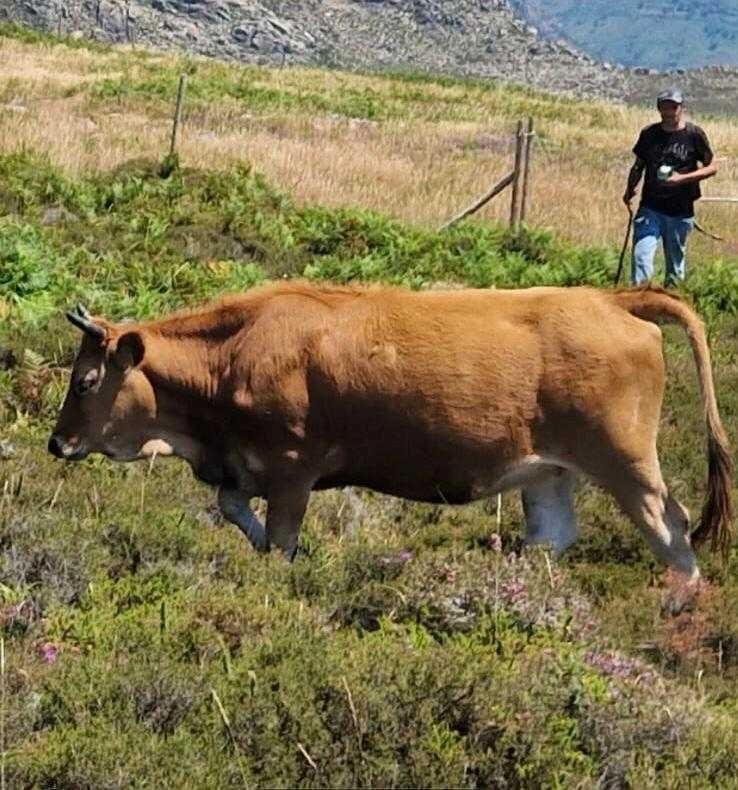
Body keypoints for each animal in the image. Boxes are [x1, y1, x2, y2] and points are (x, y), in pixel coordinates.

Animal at [47, 282, 732, 584]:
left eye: (85, 380)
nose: (57, 443)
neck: (237, 349)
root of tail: (612, 298)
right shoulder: (244, 467)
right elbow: (233, 506)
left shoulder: (292, 469)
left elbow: (279, 540)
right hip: (548, 472)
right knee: (551, 535)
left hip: (625, 462)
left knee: (671, 527)